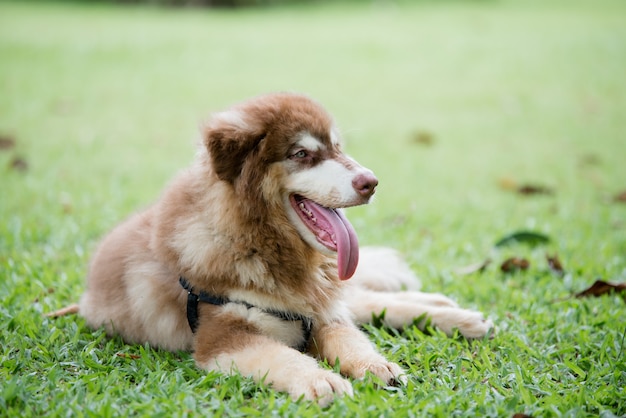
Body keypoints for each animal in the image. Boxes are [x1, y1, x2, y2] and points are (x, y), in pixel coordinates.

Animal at [52, 92, 492, 404]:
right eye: (302, 153)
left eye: (337, 148)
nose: (371, 182)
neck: (257, 242)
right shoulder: (224, 336)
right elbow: (281, 355)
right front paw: (320, 380)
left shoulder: (322, 314)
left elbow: (352, 339)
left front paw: (375, 365)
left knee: (366, 301)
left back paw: (456, 315)